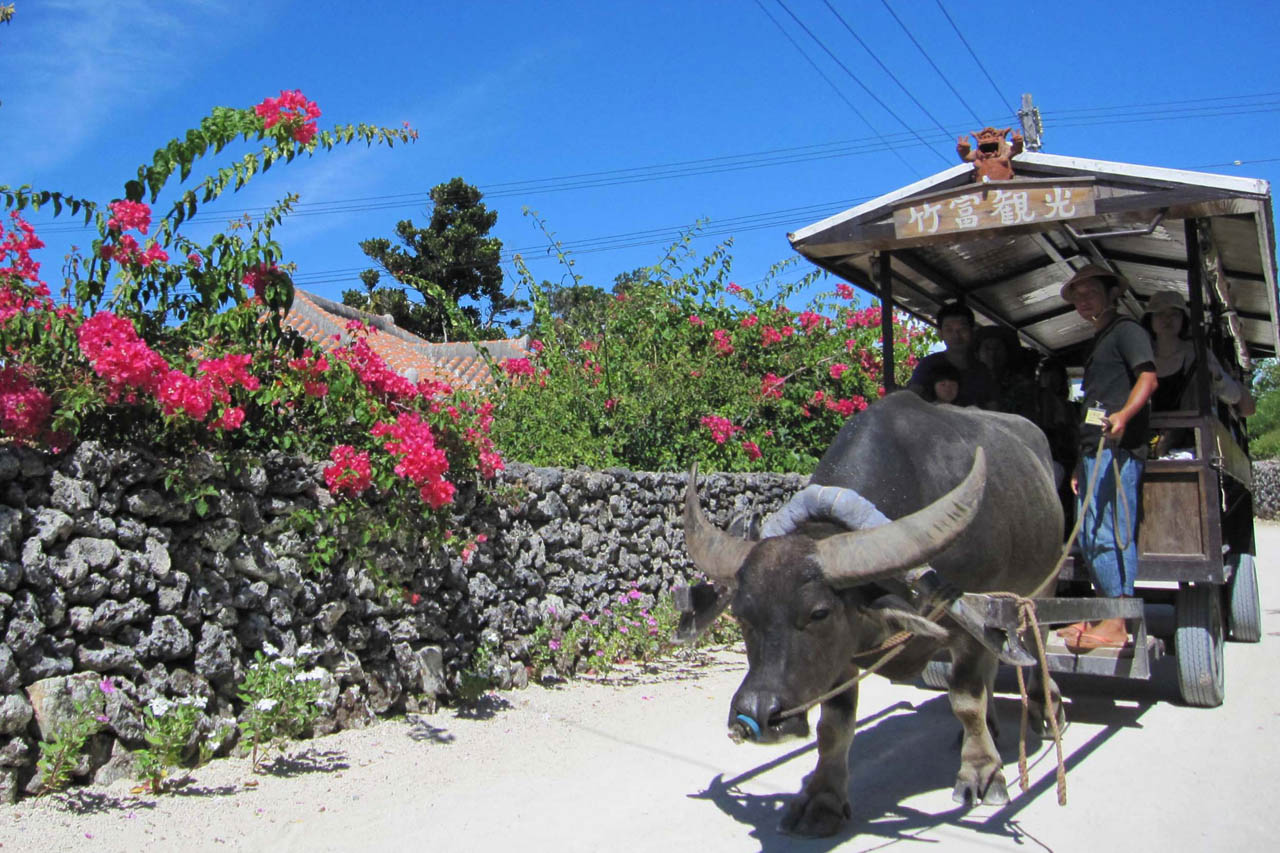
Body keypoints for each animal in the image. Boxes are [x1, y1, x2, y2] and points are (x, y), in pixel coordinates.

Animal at [686, 389, 1064, 835]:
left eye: (819, 613)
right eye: (743, 616)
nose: (758, 714)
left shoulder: (971, 620)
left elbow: (966, 697)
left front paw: (982, 775)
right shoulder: (843, 657)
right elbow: (834, 726)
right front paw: (823, 800)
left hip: (1043, 586)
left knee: (1034, 647)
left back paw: (1044, 710)